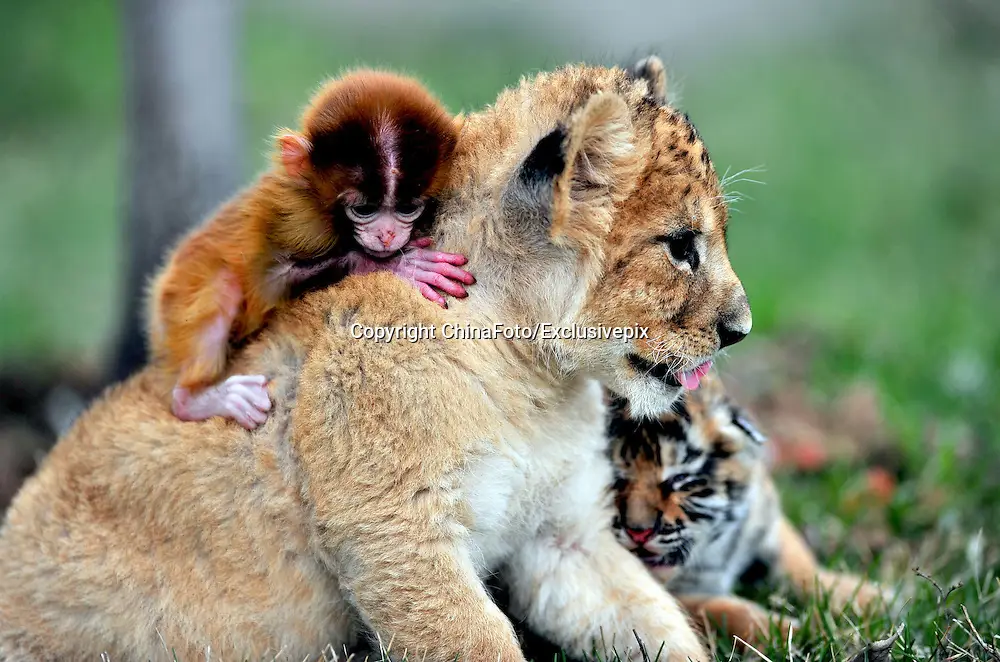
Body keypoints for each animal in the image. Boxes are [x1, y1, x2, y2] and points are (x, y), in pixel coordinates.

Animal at [148, 68, 472, 430]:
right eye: (364, 210)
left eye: (407, 208)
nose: (387, 234)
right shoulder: (293, 216)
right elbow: (267, 284)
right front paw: (395, 266)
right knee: (225, 285)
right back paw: (193, 399)